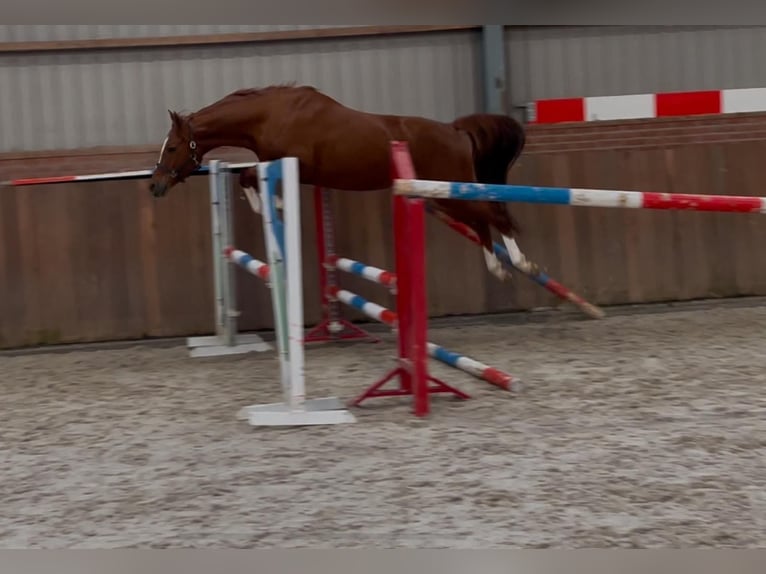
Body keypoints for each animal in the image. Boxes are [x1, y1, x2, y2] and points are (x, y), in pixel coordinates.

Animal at [151, 84, 536, 282]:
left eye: (172, 147)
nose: (155, 186)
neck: (273, 115)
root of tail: (456, 131)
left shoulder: (299, 165)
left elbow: (247, 175)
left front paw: (272, 206)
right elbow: (249, 176)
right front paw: (275, 205)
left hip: (449, 189)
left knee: (494, 214)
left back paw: (521, 263)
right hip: (443, 196)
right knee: (482, 219)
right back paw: (498, 267)